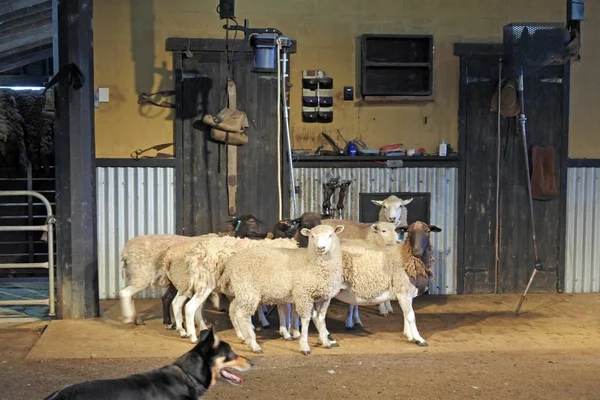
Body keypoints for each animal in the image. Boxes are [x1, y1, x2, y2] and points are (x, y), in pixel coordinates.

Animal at [163, 236, 298, 342]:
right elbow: (286, 310)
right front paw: (290, 332)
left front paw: (288, 330)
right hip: (200, 283)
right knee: (189, 307)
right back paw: (192, 335)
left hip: (190, 285)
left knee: (179, 304)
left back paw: (186, 330)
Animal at [218, 223, 344, 354]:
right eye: (312, 236)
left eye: (330, 235)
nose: (321, 248)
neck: (311, 260)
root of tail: (231, 262)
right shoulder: (303, 295)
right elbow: (306, 320)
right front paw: (304, 345)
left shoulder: (324, 298)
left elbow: (321, 319)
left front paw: (325, 341)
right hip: (248, 290)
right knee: (241, 315)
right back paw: (253, 344)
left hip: (243, 292)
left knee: (233, 309)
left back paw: (242, 336)